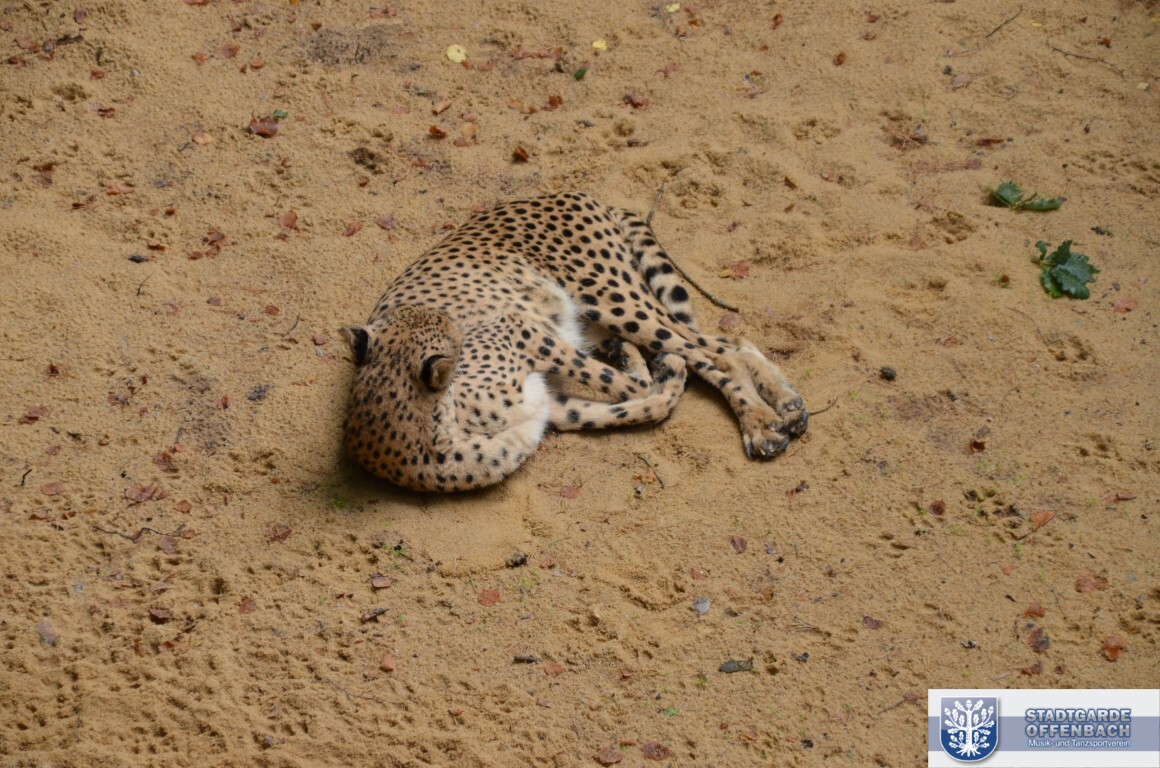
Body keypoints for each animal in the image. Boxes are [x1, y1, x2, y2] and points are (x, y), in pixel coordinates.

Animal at [342, 192, 807, 492]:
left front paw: (639, 367)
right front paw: (642, 372)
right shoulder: (554, 407)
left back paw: (761, 422)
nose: (452, 319)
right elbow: (641, 402)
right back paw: (784, 406)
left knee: (718, 351)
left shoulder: (521, 329)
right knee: (718, 343)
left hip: (610, 298)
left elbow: (635, 385)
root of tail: (567, 191)